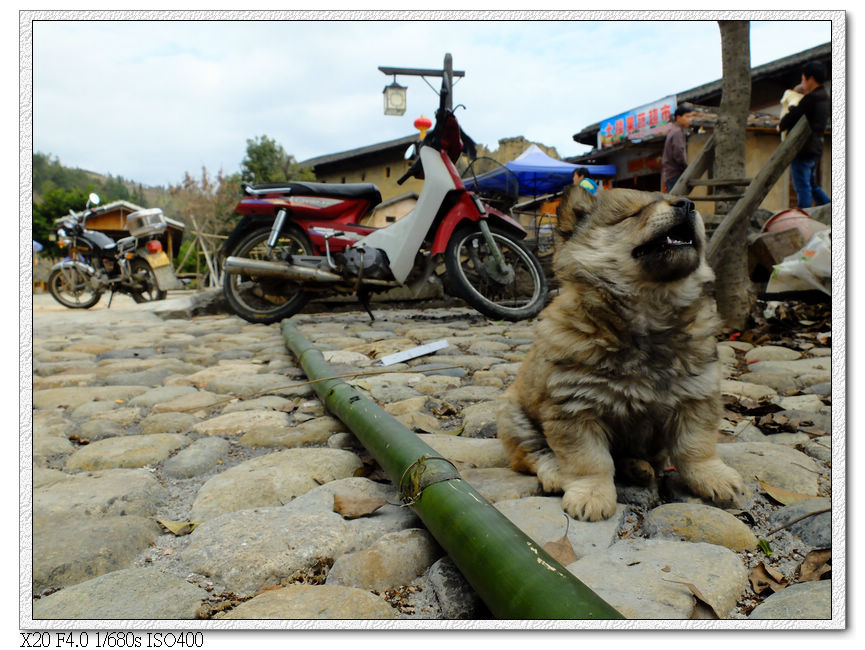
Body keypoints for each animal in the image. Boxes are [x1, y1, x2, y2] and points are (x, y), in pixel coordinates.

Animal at [496, 185, 744, 520]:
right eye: (635, 213)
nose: (688, 204)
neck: (650, 311)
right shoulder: (575, 409)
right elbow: (590, 461)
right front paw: (590, 494)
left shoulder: (696, 397)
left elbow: (696, 447)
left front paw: (712, 476)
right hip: (514, 417)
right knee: (534, 454)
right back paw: (558, 473)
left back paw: (637, 468)